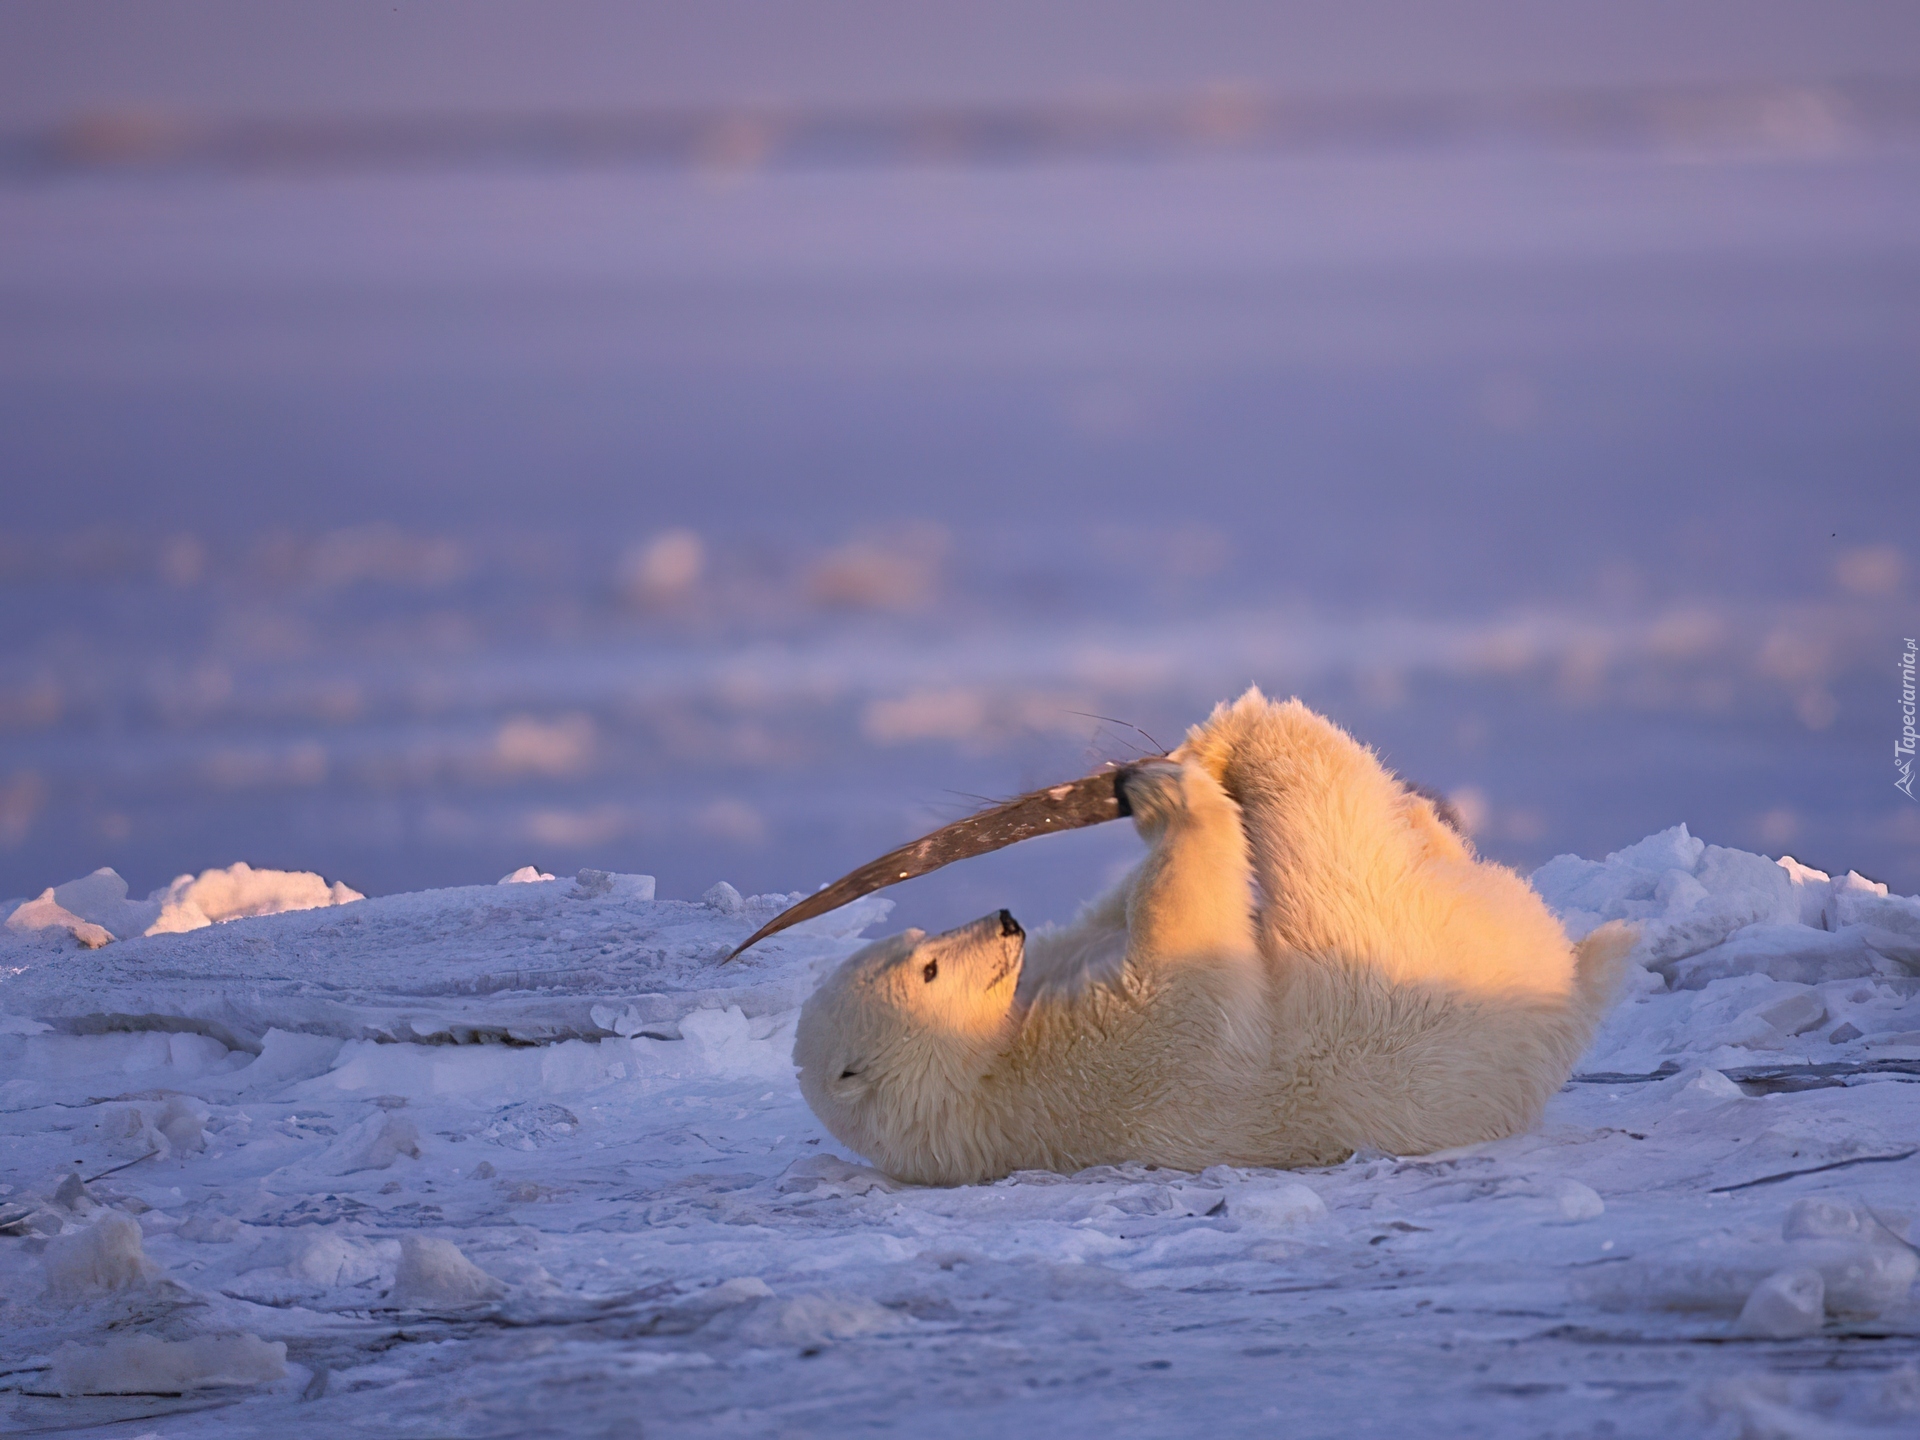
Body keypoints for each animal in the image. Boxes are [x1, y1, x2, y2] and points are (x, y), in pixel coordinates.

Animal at [787, 695, 1628, 1190]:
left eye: (917, 938)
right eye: (929, 969)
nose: (1003, 921)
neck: (978, 1081)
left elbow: (1106, 922)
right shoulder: (1102, 1070)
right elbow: (1185, 957)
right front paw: (1166, 792)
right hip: (1391, 953)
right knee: (1328, 816)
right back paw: (1252, 728)